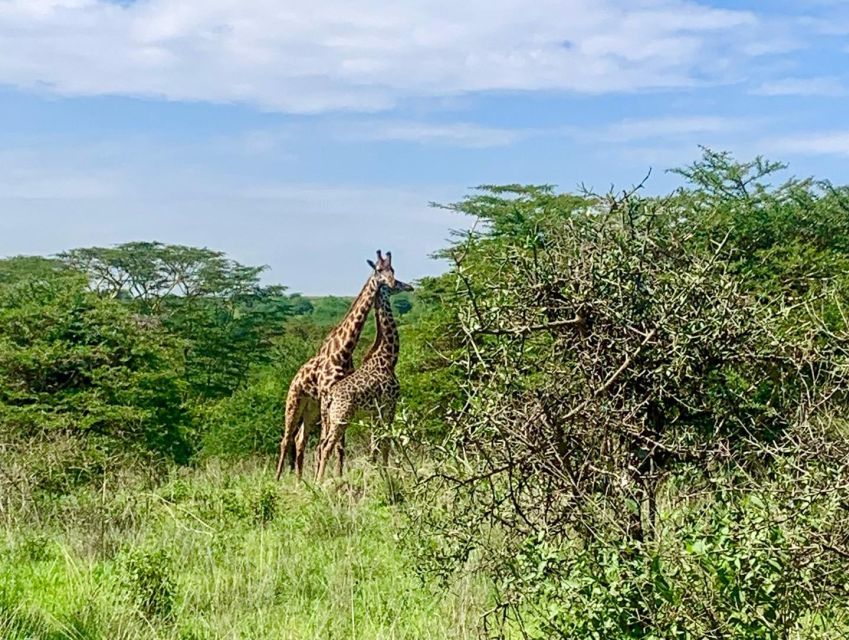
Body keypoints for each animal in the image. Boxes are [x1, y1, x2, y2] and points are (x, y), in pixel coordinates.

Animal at [316, 276, 412, 480]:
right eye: (397, 282)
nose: (410, 286)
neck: (388, 357)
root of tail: (330, 397)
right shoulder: (389, 404)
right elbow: (385, 441)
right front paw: (388, 474)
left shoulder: (374, 412)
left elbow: (375, 444)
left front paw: (378, 472)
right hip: (341, 417)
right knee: (327, 446)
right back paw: (319, 482)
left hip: (329, 418)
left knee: (321, 445)